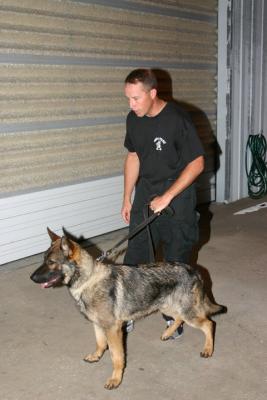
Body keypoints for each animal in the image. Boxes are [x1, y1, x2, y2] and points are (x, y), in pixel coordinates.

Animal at [31, 230, 228, 390]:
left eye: (51, 262)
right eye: (43, 260)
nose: (31, 277)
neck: (88, 280)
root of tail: (193, 270)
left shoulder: (113, 330)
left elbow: (116, 357)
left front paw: (115, 379)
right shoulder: (98, 325)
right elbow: (100, 344)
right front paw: (96, 356)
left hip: (188, 313)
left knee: (209, 323)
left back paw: (208, 349)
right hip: (167, 306)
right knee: (179, 319)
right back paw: (167, 333)